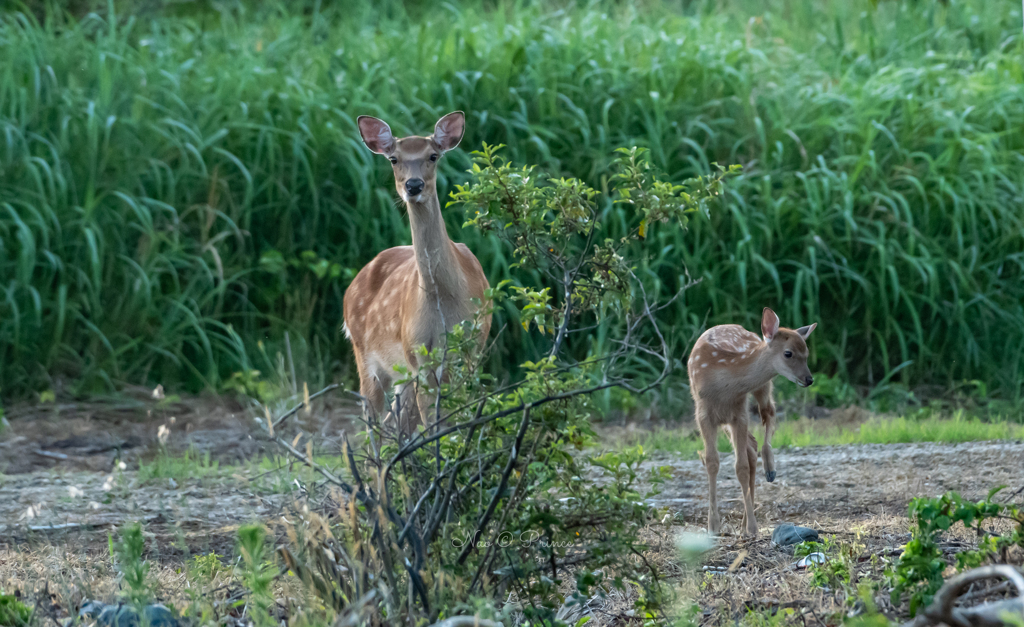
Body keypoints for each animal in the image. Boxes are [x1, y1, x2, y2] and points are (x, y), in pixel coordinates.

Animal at [344, 111, 491, 430]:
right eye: (394, 159)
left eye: (433, 156)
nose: (413, 186)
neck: (445, 301)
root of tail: (350, 290)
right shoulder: (418, 353)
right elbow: (436, 424)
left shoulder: (474, 347)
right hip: (367, 357)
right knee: (374, 425)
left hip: (402, 373)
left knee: (396, 422)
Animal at [688, 305, 815, 536]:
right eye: (788, 353)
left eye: (807, 354)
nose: (809, 379)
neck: (723, 385)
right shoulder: (703, 414)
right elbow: (712, 462)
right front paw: (713, 525)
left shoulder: (740, 412)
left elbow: (741, 467)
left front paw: (753, 527)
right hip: (728, 419)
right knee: (751, 446)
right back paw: (743, 522)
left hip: (761, 388)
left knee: (768, 415)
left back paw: (769, 468)